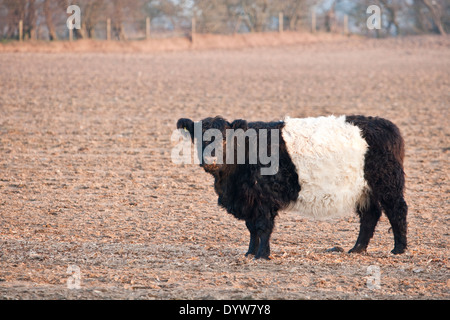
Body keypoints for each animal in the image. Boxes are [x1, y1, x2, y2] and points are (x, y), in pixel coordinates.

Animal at [178, 115, 410, 260]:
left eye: (225, 138)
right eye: (198, 138)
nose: (210, 161)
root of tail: (385, 124)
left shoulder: (264, 200)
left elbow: (263, 227)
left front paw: (262, 255)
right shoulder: (249, 201)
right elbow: (252, 229)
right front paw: (250, 253)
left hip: (387, 184)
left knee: (397, 211)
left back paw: (398, 249)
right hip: (363, 190)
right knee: (370, 216)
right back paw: (357, 249)